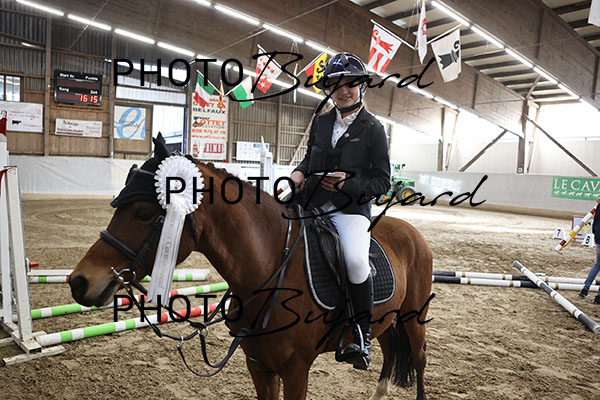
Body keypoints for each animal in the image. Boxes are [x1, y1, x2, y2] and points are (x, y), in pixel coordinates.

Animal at [69, 142, 433, 400]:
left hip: (413, 317)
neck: (271, 268)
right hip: (386, 319)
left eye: (144, 213)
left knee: (418, 359)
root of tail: (411, 232)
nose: (79, 282)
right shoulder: (259, 366)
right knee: (389, 350)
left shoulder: (297, 370)